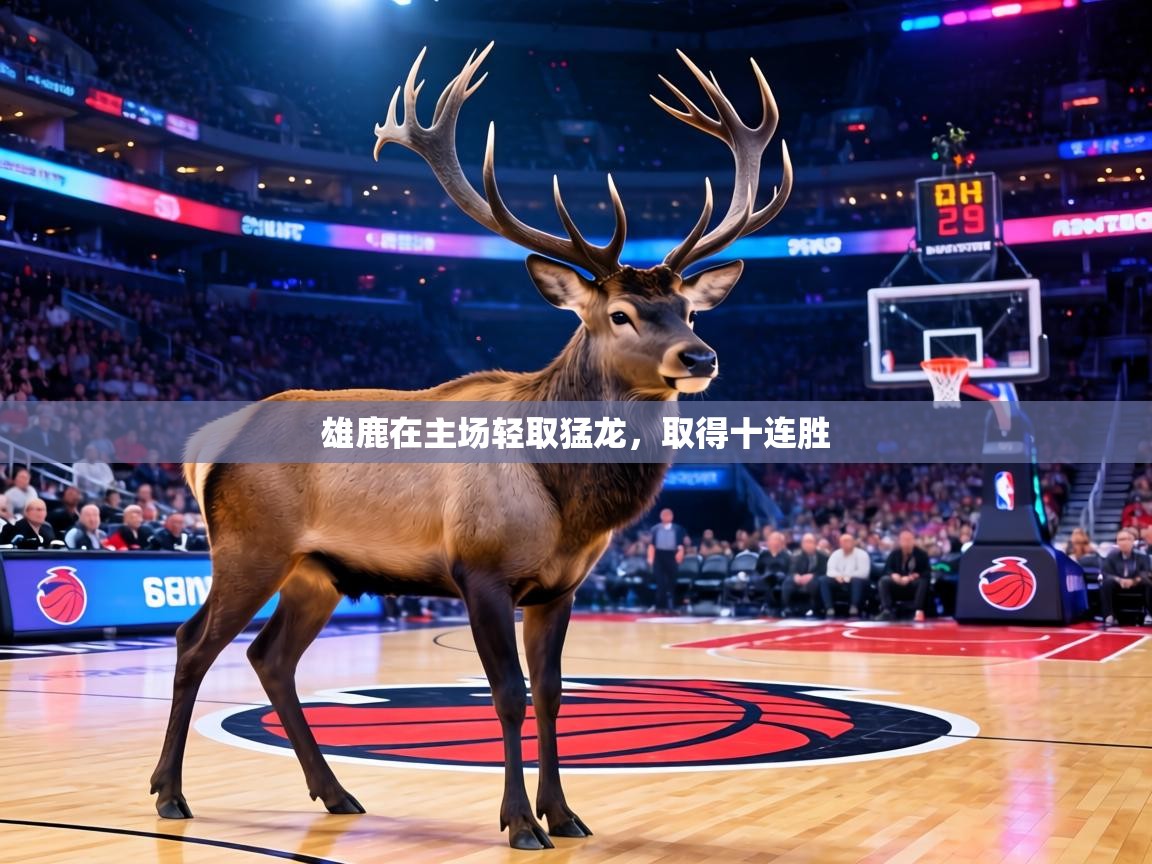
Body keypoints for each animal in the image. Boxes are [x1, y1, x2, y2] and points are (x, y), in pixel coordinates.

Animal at [149, 42, 791, 850]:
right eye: (618, 313)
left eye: (686, 309)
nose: (699, 357)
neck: (567, 498)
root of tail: (207, 444)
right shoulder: (479, 567)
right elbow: (508, 693)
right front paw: (519, 822)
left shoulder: (561, 586)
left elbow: (551, 693)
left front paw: (565, 814)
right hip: (248, 545)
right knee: (192, 641)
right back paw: (170, 794)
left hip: (316, 571)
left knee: (271, 658)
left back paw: (336, 793)